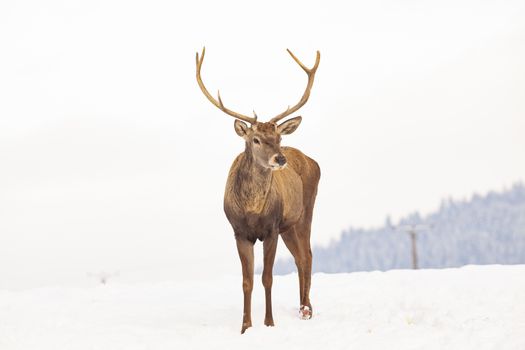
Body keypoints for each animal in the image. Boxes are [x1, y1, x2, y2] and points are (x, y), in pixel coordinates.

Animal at [195, 47, 320, 334]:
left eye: (279, 137)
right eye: (256, 139)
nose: (280, 158)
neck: (251, 210)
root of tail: (312, 161)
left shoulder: (271, 229)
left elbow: (267, 278)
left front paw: (269, 322)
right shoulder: (240, 232)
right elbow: (247, 281)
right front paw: (245, 326)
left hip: (304, 212)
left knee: (307, 255)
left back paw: (307, 309)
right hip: (289, 226)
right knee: (300, 257)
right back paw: (302, 308)